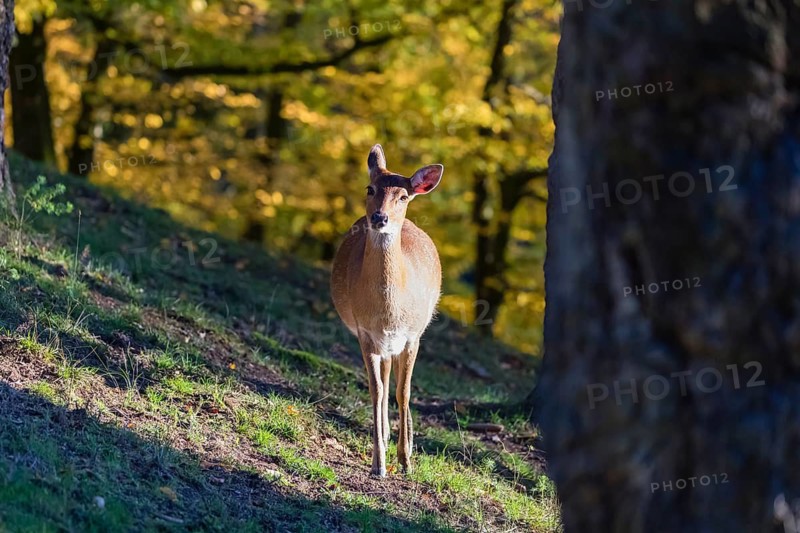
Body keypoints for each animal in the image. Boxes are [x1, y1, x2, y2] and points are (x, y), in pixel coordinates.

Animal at [331, 144, 443, 477]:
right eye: (370, 188)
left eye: (403, 196)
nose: (379, 217)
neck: (390, 311)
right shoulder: (364, 331)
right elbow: (376, 389)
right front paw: (378, 463)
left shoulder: (413, 335)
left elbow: (404, 391)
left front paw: (406, 461)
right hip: (379, 341)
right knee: (384, 376)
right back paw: (386, 434)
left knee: (395, 378)